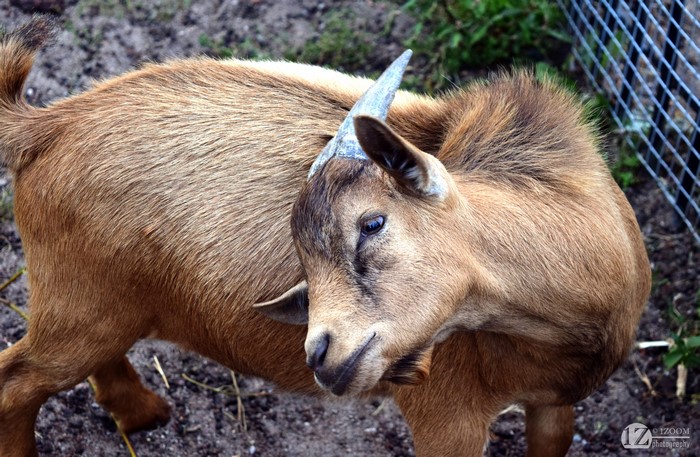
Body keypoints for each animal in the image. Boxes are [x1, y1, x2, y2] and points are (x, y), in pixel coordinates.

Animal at [0, 17, 649, 457]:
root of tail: (47, 124)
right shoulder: (449, 417)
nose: (319, 354)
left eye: (372, 223)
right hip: (77, 306)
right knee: (16, 382)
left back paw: (144, 415)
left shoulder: (555, 404)